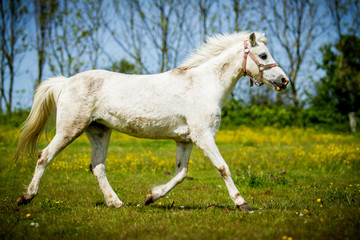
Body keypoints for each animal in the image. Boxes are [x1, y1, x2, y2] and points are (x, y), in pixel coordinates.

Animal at [14, 31, 290, 210]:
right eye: (263, 55)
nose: (284, 80)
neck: (204, 85)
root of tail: (65, 82)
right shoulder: (204, 136)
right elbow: (222, 167)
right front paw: (243, 203)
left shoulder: (186, 140)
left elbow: (181, 174)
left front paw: (151, 197)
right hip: (69, 129)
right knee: (44, 156)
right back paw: (25, 198)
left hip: (99, 131)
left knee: (97, 167)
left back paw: (116, 203)